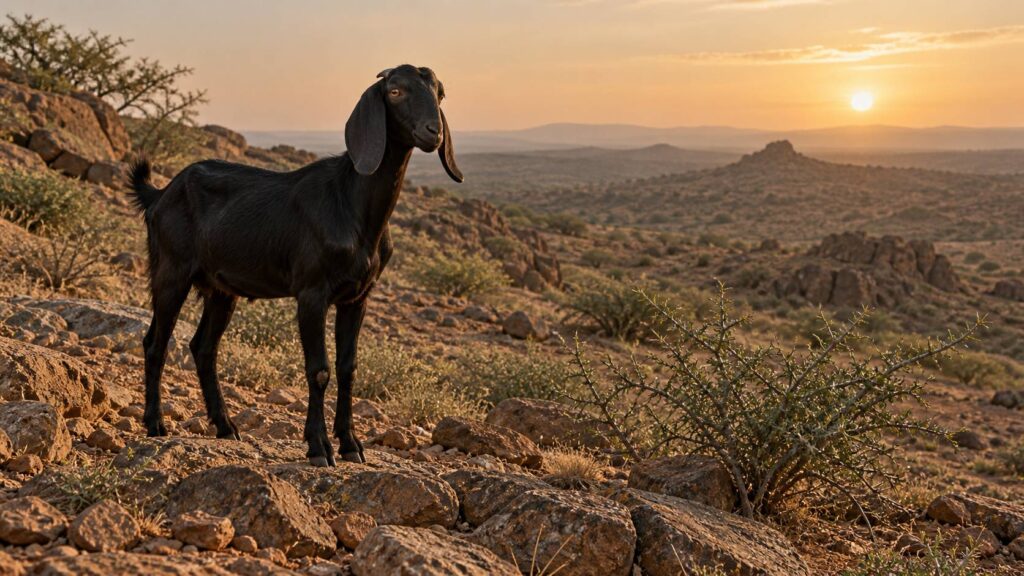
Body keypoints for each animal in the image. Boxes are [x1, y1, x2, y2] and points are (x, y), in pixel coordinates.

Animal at [129, 65, 462, 466]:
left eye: (440, 93)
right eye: (395, 91)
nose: (433, 132)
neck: (353, 206)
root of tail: (159, 195)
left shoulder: (357, 297)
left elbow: (348, 368)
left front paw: (351, 445)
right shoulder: (312, 293)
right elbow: (319, 370)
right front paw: (319, 447)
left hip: (222, 289)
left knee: (203, 348)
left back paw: (226, 426)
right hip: (171, 271)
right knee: (155, 343)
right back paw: (156, 424)